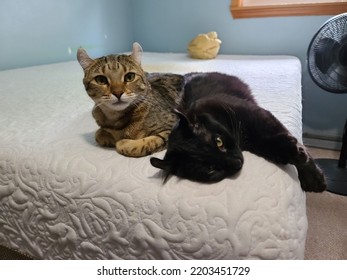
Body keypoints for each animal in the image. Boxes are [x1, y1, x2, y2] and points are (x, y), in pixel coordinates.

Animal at [151, 71, 328, 192]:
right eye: (210, 169)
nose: (237, 162)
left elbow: (284, 139)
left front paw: (312, 177)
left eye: (219, 142)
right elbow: (274, 147)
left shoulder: (259, 116)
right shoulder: (259, 141)